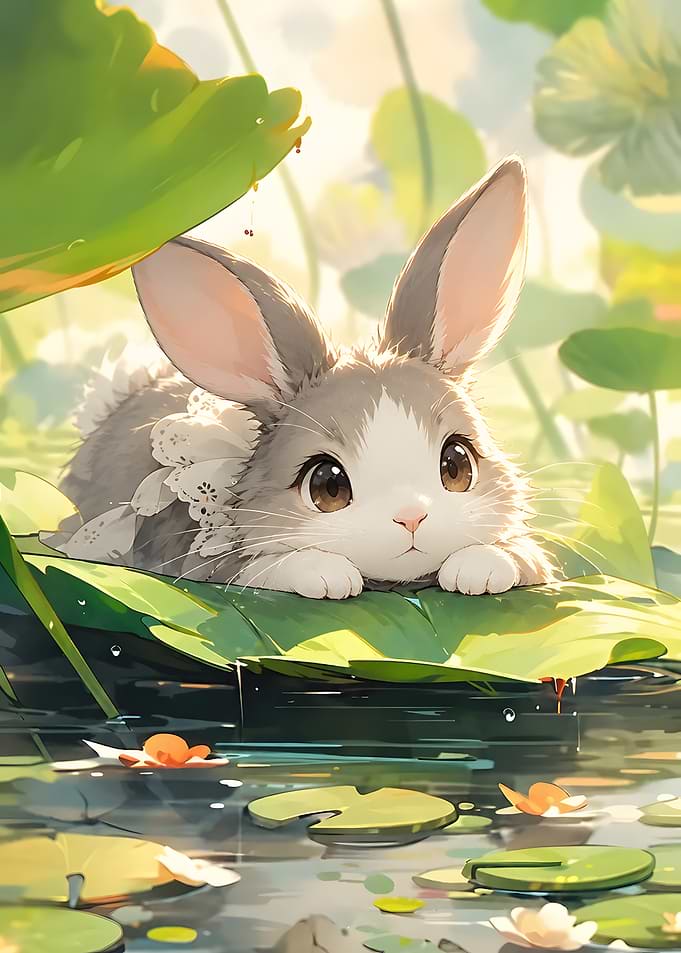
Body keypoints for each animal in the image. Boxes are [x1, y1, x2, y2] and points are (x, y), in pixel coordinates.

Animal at [57, 155, 555, 598]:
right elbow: (269, 568)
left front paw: (479, 569)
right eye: (327, 486)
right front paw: (326, 576)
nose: (411, 517)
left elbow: (519, 556)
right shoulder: (216, 563)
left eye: (457, 465)